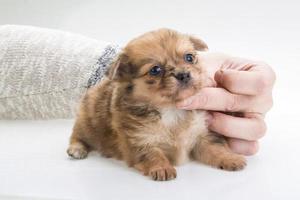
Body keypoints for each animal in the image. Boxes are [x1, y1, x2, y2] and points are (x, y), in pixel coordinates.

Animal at [67, 28, 246, 181]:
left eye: (189, 57)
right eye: (155, 70)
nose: (183, 74)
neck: (171, 109)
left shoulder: (202, 134)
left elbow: (216, 147)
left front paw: (230, 158)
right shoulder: (139, 140)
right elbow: (152, 154)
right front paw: (162, 168)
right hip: (86, 124)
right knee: (77, 135)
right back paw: (76, 149)